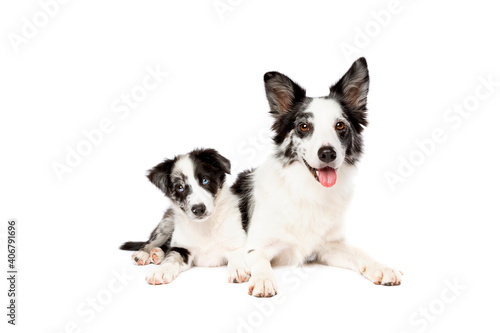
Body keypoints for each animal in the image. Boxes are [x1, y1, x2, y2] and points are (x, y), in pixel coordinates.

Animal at [119, 149, 248, 284]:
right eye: (180, 187)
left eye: (205, 180)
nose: (198, 209)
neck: (204, 226)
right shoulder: (182, 248)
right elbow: (172, 258)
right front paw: (161, 271)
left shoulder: (237, 243)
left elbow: (237, 256)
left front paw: (238, 269)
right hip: (166, 223)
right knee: (152, 242)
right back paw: (144, 254)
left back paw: (157, 254)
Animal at [233, 57, 402, 298]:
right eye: (304, 126)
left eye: (340, 125)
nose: (328, 153)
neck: (308, 192)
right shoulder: (257, 245)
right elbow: (259, 260)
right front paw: (264, 280)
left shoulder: (329, 247)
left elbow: (358, 251)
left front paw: (381, 267)